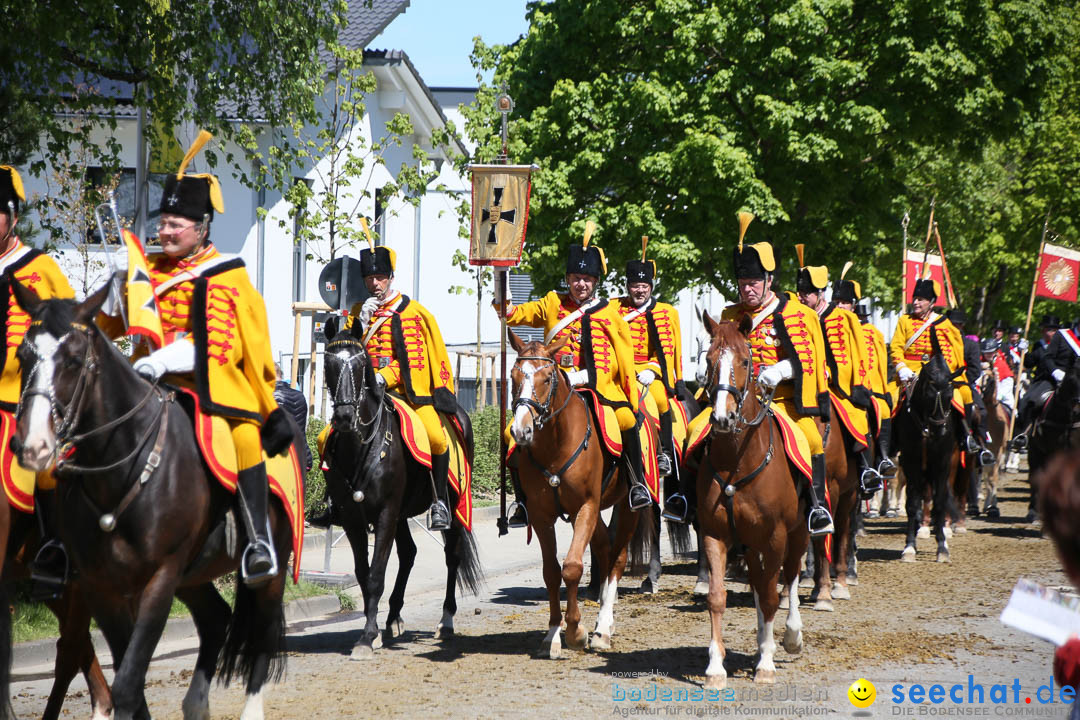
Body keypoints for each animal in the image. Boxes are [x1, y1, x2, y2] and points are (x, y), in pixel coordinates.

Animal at [509, 332, 652, 660]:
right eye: (513, 376)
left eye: (547, 378)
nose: (521, 431)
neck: (555, 444)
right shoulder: (542, 516)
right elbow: (551, 572)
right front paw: (552, 634)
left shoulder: (585, 506)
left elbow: (572, 567)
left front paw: (575, 631)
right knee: (604, 548)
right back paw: (601, 621)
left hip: (626, 508)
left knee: (618, 558)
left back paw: (603, 628)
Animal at [695, 317, 807, 690]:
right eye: (708, 360)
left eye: (746, 361)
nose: (723, 418)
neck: (737, 461)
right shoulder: (715, 535)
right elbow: (718, 597)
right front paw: (716, 667)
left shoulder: (775, 536)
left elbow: (773, 596)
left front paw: (767, 664)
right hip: (751, 543)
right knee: (761, 585)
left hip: (796, 534)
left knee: (788, 578)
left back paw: (789, 637)